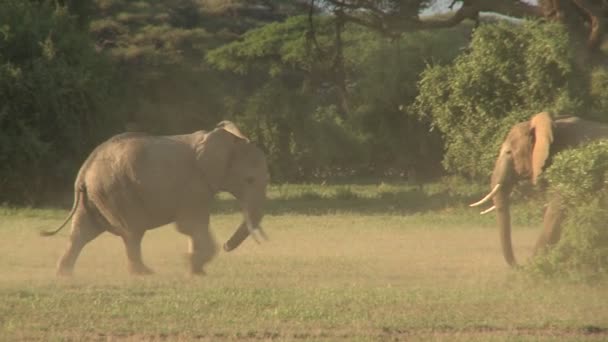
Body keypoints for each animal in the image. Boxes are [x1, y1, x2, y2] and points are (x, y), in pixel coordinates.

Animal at [41, 120, 270, 276]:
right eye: (250, 180)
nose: (226, 246)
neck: (227, 142)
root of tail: (84, 171)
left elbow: (192, 228)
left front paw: (196, 269)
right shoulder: (194, 184)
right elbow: (191, 225)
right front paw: (191, 264)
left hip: (96, 196)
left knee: (82, 233)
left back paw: (63, 274)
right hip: (117, 192)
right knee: (132, 232)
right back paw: (144, 273)